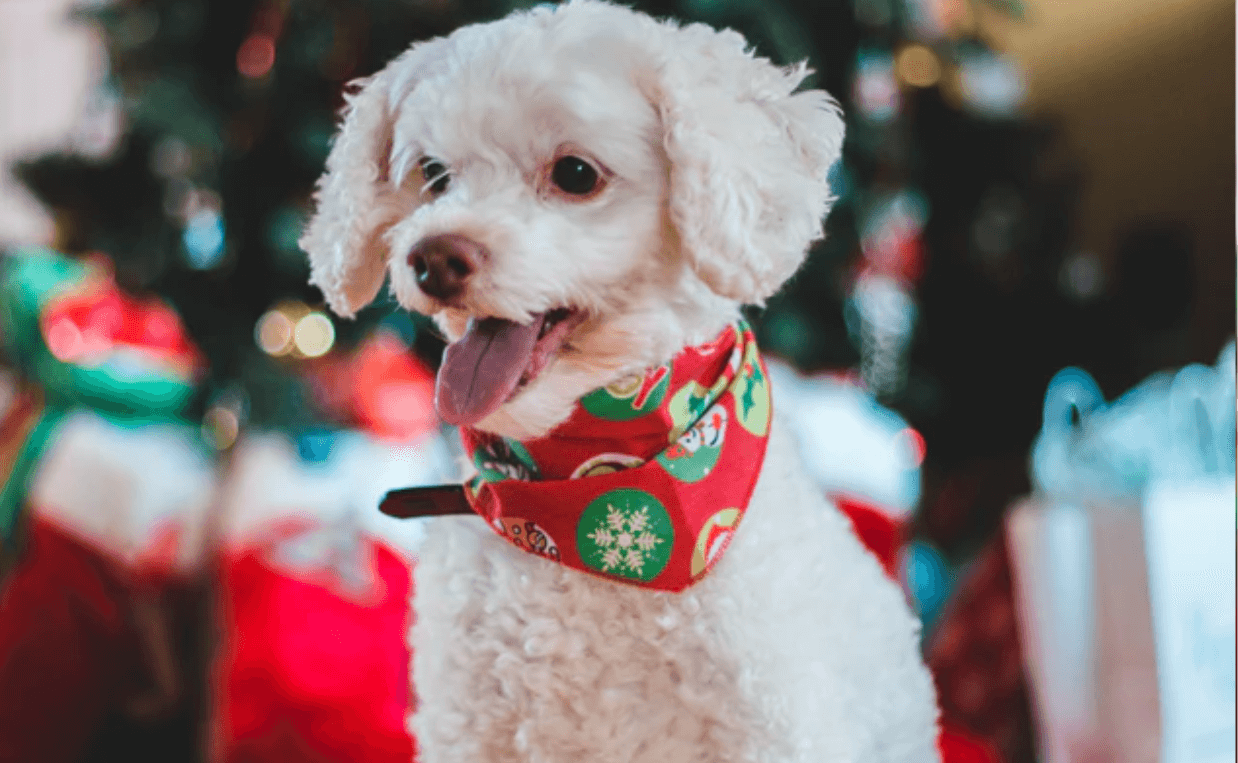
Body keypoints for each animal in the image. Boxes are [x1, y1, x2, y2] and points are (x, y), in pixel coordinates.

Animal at [302, 2, 935, 758]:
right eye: (432, 173)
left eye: (576, 173)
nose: (434, 258)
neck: (588, 495)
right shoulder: (467, 726)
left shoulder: (778, 726)